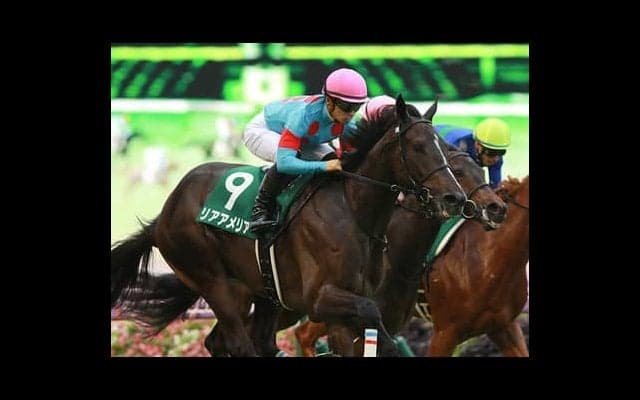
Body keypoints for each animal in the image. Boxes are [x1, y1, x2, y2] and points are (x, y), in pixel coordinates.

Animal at [110, 94, 467, 356]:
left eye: (444, 145)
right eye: (419, 147)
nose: (454, 198)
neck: (354, 210)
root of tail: (164, 215)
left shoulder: (342, 309)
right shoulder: (321, 299)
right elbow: (372, 315)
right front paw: (391, 345)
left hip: (265, 292)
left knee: (245, 342)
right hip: (216, 284)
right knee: (237, 342)